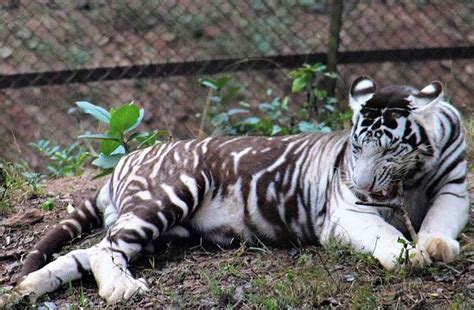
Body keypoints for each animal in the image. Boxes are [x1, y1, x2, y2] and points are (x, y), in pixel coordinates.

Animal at [7, 76, 470, 304]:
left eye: (389, 148)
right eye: (356, 149)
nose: (361, 183)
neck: (411, 177)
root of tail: (126, 159)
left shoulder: (453, 187)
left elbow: (440, 221)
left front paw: (436, 245)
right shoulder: (348, 211)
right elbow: (385, 234)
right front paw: (408, 255)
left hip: (153, 229)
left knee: (87, 252)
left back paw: (27, 287)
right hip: (166, 195)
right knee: (104, 250)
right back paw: (121, 289)